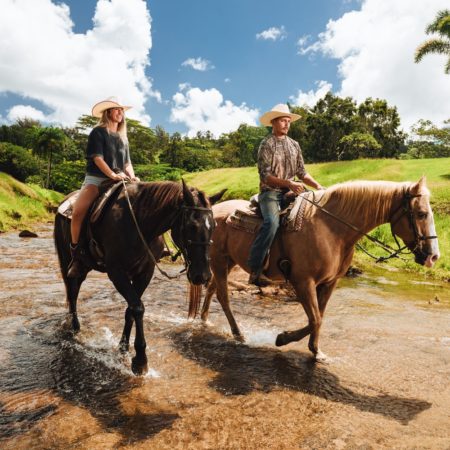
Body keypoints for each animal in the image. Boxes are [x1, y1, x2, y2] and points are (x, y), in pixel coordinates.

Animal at [54, 181, 223, 374]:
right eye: (191, 226)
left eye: (214, 226)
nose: (202, 275)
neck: (139, 224)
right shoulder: (116, 272)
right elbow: (138, 308)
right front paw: (140, 360)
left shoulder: (145, 272)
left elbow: (131, 310)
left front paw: (123, 348)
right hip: (70, 261)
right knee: (73, 291)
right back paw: (75, 328)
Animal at [189, 178, 440, 360]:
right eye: (421, 214)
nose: (433, 256)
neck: (331, 229)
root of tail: (213, 210)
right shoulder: (303, 281)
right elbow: (315, 319)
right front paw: (282, 338)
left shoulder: (330, 283)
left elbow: (320, 316)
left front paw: (316, 351)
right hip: (219, 261)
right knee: (223, 296)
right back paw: (238, 334)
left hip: (227, 262)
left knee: (212, 289)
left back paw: (204, 321)